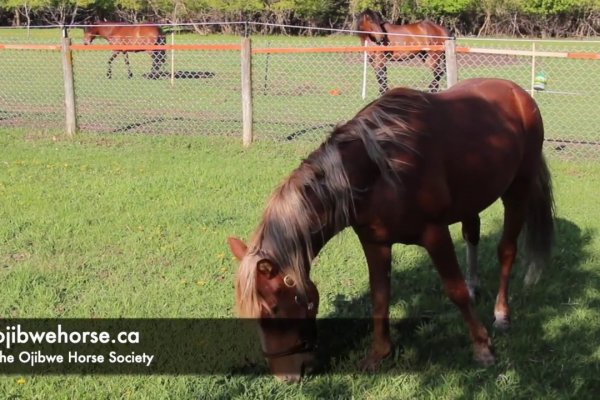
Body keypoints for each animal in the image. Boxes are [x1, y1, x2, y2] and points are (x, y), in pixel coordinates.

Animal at [227, 77, 556, 382]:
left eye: (272, 309)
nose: (284, 377)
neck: (378, 170)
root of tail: (519, 93)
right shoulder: (375, 243)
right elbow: (380, 296)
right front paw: (379, 354)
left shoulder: (435, 235)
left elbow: (455, 291)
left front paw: (482, 347)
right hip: (471, 198)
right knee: (472, 234)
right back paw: (476, 285)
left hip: (517, 190)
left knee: (506, 251)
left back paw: (502, 315)